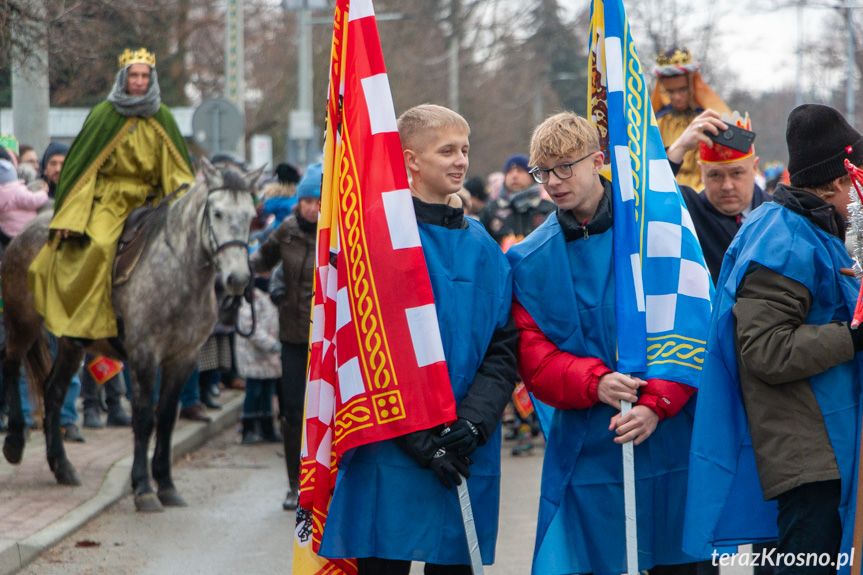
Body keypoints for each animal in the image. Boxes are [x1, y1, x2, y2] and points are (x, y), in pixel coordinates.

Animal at [2, 161, 264, 512]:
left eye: (250, 214)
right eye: (218, 213)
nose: (237, 279)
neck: (178, 272)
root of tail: (26, 232)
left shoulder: (183, 358)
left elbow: (166, 418)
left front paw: (166, 484)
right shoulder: (144, 356)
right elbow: (144, 418)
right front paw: (143, 488)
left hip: (72, 342)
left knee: (53, 391)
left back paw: (62, 466)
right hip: (23, 322)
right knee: (11, 364)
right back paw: (15, 441)